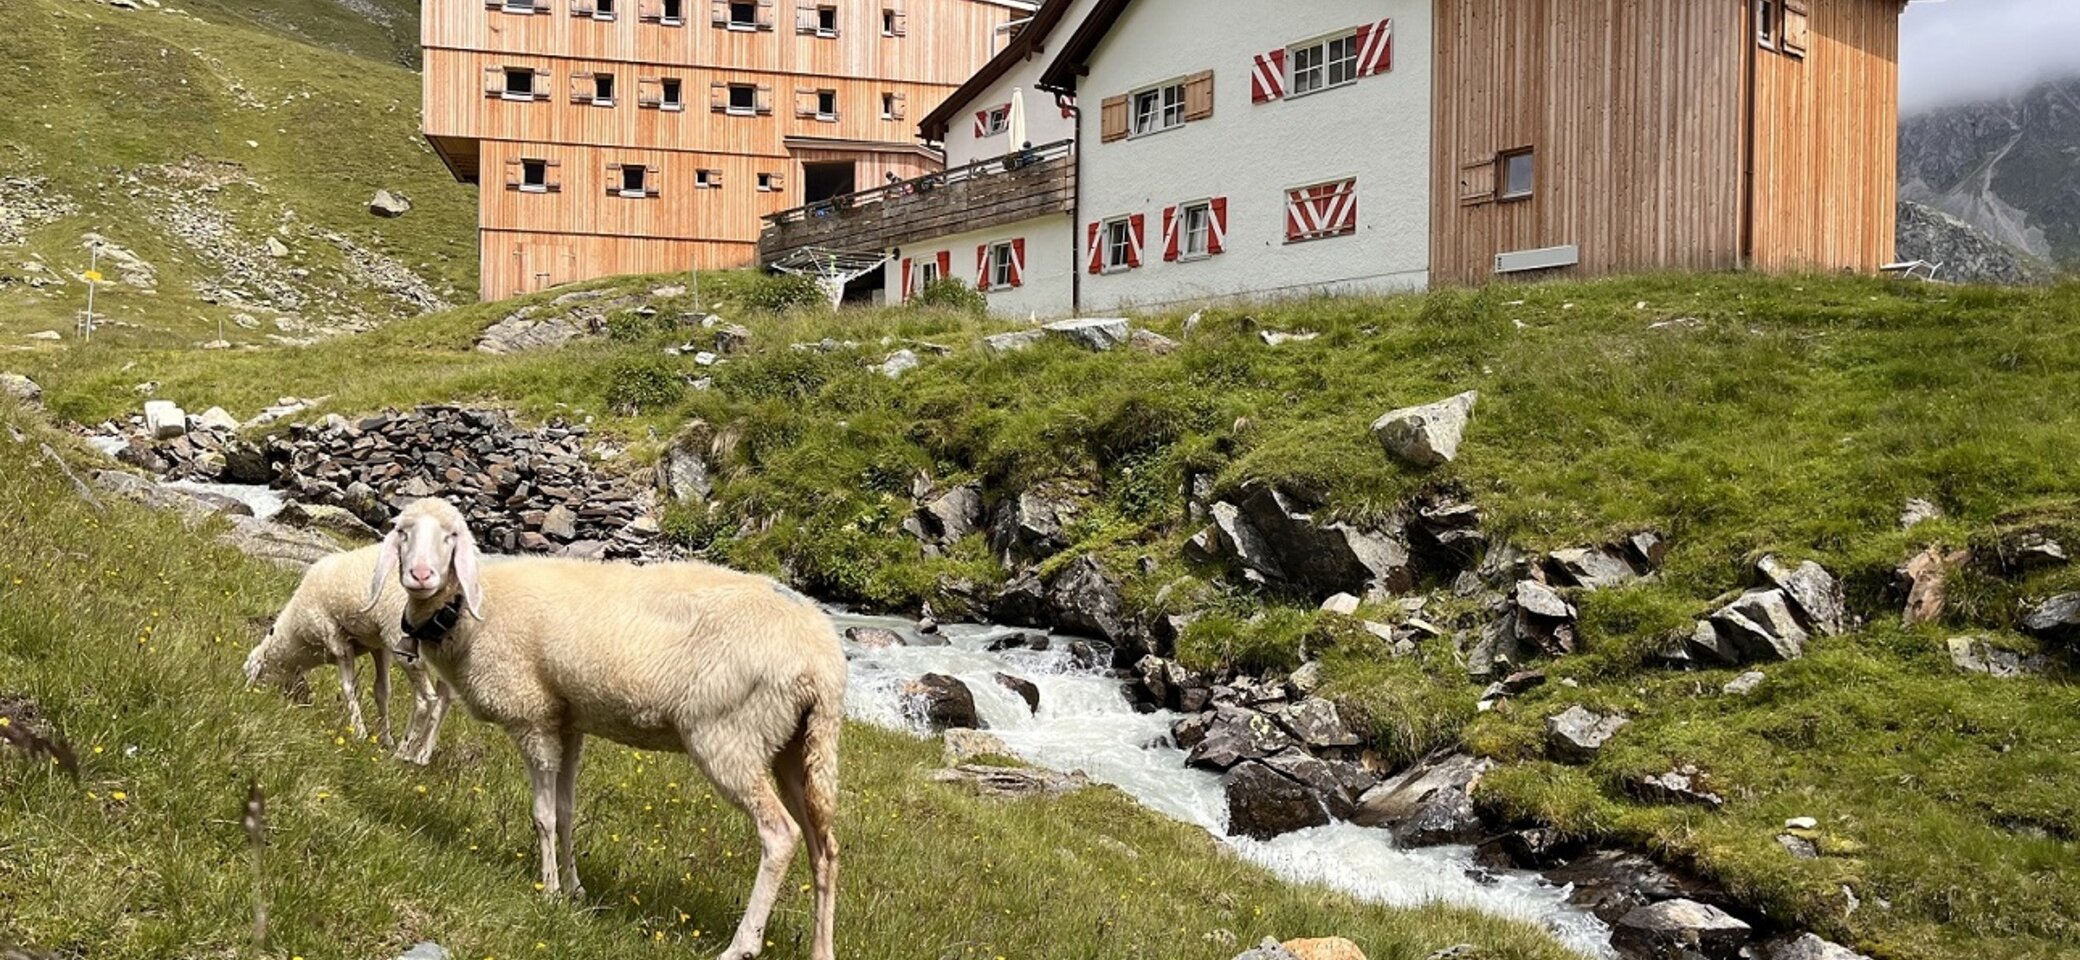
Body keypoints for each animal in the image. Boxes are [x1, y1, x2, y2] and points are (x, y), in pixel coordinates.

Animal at [247, 548, 455, 764]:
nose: (254, 696)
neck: (298, 636)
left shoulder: (336, 639)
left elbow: (348, 687)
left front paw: (360, 732)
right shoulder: (379, 645)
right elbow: (382, 690)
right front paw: (384, 739)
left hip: (401, 636)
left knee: (426, 699)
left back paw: (402, 754)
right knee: (445, 699)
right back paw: (421, 755)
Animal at [376, 494, 852, 960]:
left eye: (451, 536)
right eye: (403, 532)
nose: (421, 575)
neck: (471, 613)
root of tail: (823, 659)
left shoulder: (532, 717)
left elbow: (543, 816)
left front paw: (548, 892)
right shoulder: (567, 722)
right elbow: (566, 813)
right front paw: (574, 891)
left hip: (730, 733)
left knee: (780, 834)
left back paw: (742, 945)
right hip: (799, 745)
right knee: (824, 848)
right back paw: (822, 949)